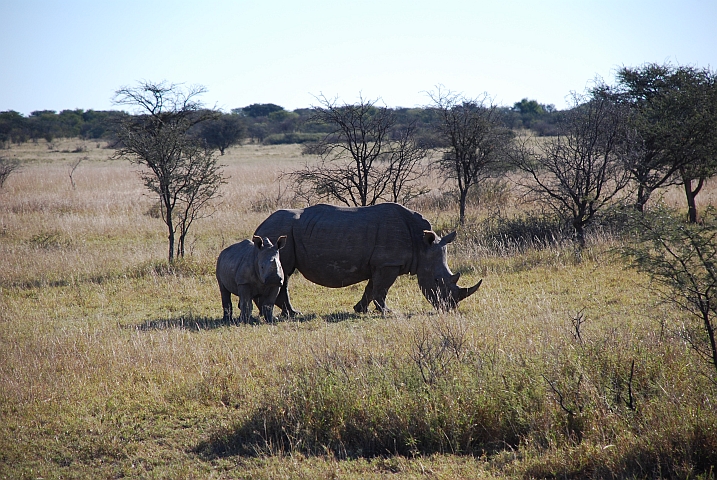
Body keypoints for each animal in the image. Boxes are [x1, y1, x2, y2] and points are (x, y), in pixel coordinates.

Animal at [253, 203, 481, 315]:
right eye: (436, 280)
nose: (449, 308)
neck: (421, 244)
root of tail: (260, 226)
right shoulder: (388, 263)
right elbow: (382, 288)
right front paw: (388, 312)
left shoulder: (380, 263)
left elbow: (371, 287)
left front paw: (360, 310)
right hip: (278, 231)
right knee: (284, 274)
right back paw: (294, 314)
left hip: (278, 232)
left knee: (283, 274)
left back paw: (291, 314)